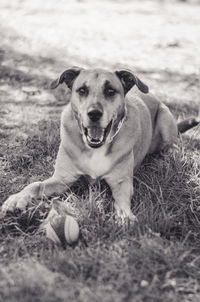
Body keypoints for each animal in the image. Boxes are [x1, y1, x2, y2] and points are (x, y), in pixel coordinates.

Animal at [1, 67, 198, 221]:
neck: (95, 148)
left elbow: (121, 200)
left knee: (173, 145)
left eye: (110, 91)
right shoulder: (62, 179)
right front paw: (17, 198)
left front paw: (125, 216)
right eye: (82, 90)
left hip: (165, 119)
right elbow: (35, 185)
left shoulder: (121, 182)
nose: (94, 113)